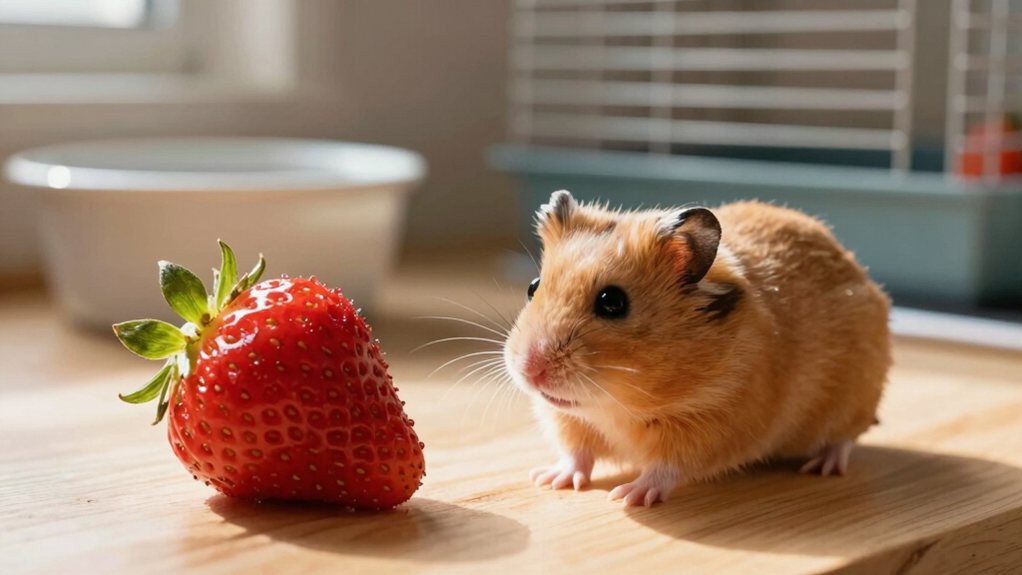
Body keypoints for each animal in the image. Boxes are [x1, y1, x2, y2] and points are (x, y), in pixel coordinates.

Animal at [503, 190, 891, 507]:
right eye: (533, 286)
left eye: (612, 302)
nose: (530, 370)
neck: (615, 407)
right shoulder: (569, 420)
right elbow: (576, 453)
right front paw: (549, 480)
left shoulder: (712, 424)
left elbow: (666, 467)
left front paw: (628, 496)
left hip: (854, 398)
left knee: (844, 438)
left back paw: (823, 466)